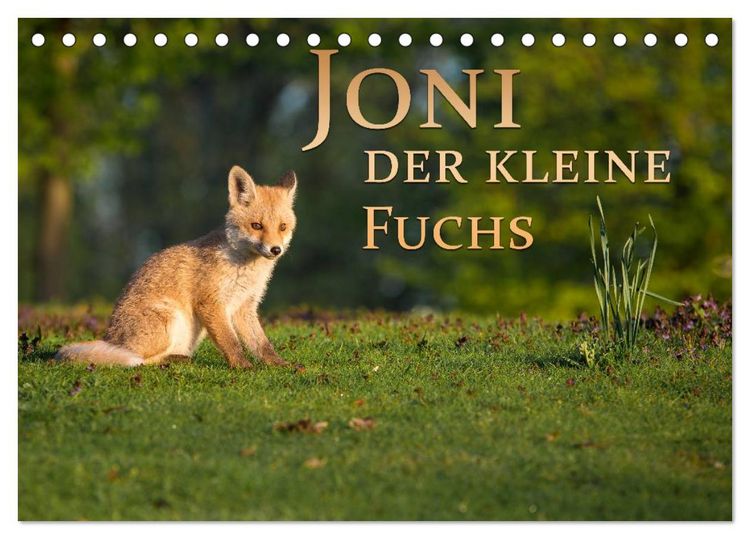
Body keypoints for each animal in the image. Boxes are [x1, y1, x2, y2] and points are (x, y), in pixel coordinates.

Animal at [56, 165, 297, 369]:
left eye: (282, 227)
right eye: (257, 226)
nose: (275, 249)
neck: (244, 269)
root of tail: (110, 338)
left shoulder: (244, 307)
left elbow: (262, 344)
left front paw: (280, 365)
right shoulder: (210, 302)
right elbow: (231, 342)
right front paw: (243, 367)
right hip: (170, 319)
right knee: (139, 359)